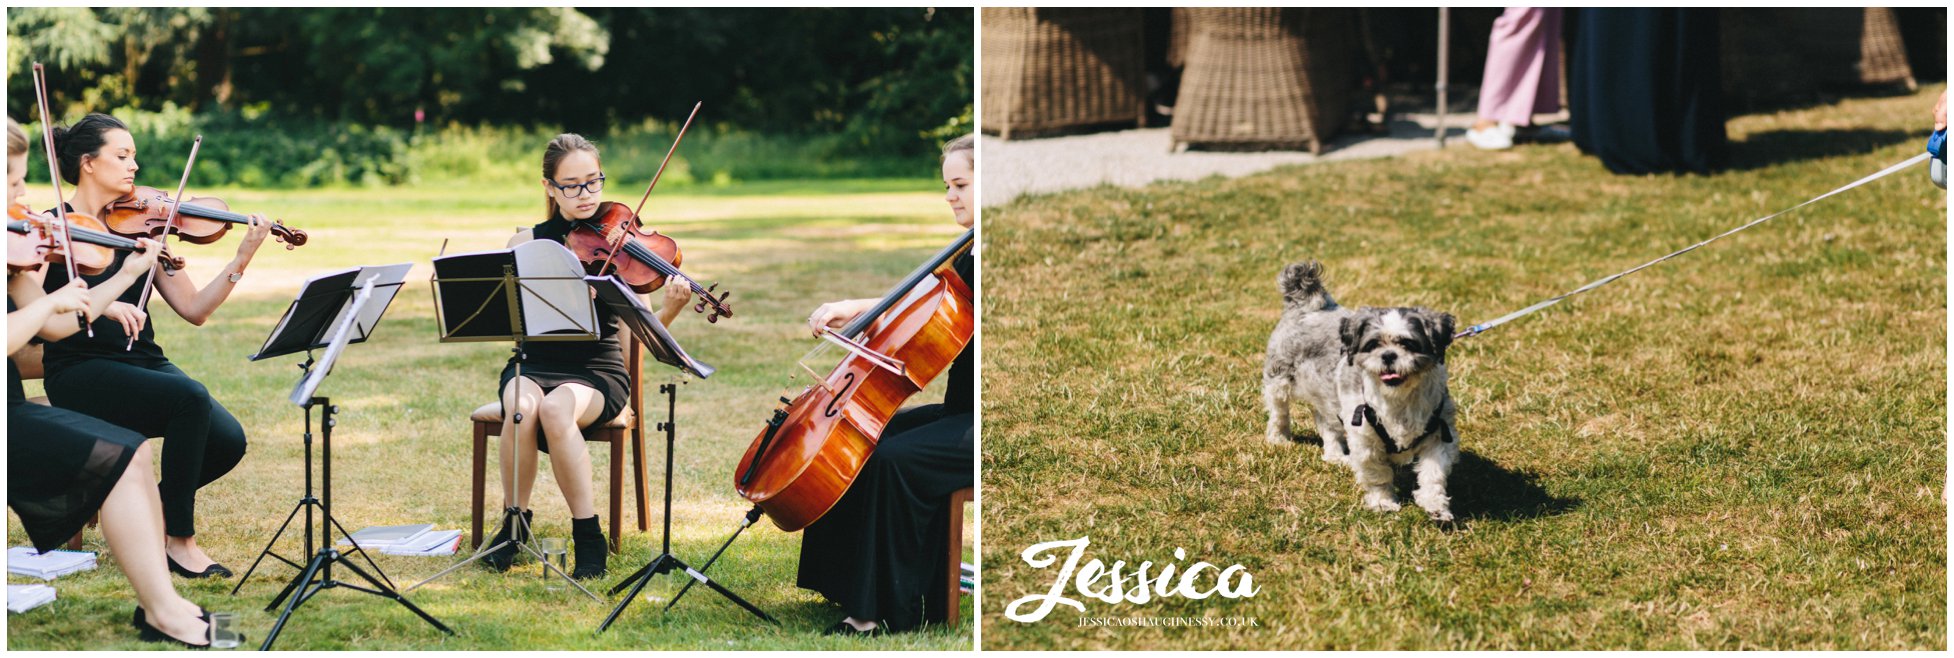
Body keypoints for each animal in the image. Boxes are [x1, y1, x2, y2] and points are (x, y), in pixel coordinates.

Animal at [1258, 259, 1461, 519]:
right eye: (1373, 344)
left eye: (1409, 344)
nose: (1388, 355)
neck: (1398, 400)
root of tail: (1308, 305)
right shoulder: (1365, 439)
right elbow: (1377, 475)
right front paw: (1383, 502)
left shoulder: (1439, 436)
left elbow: (1433, 474)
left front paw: (1436, 506)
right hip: (1279, 378)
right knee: (1279, 412)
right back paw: (1279, 437)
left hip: (1328, 397)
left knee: (1326, 424)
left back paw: (1336, 456)